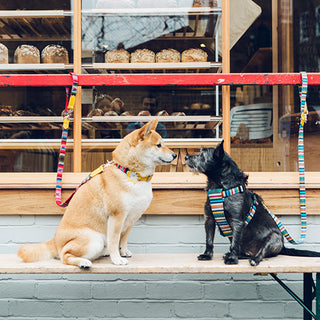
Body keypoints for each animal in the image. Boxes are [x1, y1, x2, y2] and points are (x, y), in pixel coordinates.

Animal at [18, 120, 176, 268]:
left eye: (163, 143)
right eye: (159, 145)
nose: (174, 155)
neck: (130, 172)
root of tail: (55, 241)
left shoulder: (132, 218)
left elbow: (123, 239)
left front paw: (124, 252)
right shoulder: (117, 216)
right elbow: (114, 241)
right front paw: (117, 259)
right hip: (94, 239)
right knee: (65, 256)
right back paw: (84, 262)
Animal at [184, 141, 320, 266]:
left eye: (202, 155)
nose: (186, 157)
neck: (220, 187)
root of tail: (283, 247)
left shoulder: (237, 222)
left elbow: (234, 243)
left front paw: (232, 259)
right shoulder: (209, 219)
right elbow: (209, 240)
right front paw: (207, 255)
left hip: (273, 238)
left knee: (260, 252)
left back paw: (254, 259)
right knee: (243, 252)